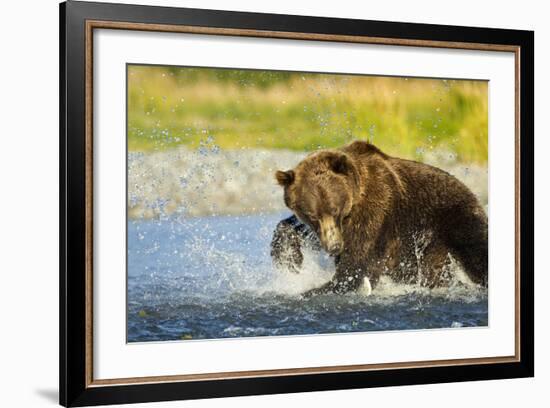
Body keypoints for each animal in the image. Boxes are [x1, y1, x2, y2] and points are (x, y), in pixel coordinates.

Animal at [272, 140, 492, 296]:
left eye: (335, 210)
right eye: (312, 215)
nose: (334, 247)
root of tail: (472, 193)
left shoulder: (375, 211)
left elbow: (357, 265)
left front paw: (316, 288)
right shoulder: (330, 229)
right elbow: (296, 229)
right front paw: (289, 260)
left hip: (456, 218)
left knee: (477, 253)